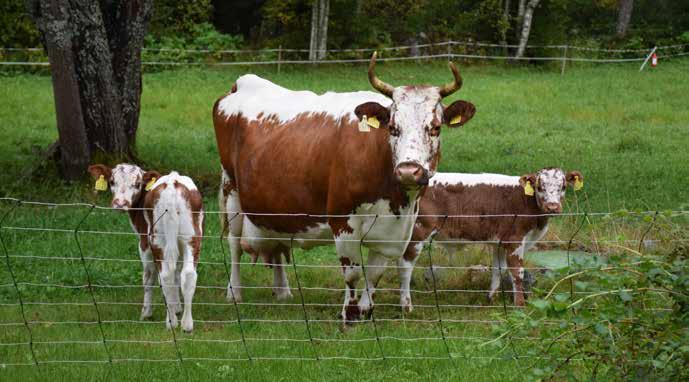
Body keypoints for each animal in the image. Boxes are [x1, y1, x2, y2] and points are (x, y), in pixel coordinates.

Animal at [87, 164, 203, 332]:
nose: (120, 203)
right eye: (112, 181)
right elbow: (177, 275)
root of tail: (171, 183)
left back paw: (171, 322)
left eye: (137, 184)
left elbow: (148, 278)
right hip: (191, 239)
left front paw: (147, 313)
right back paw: (187, 324)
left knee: (164, 276)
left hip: (157, 240)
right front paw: (177, 307)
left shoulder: (144, 244)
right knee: (187, 275)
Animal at [212, 52, 476, 324]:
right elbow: (353, 274)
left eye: (435, 128)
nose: (408, 171)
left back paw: (283, 291)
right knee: (234, 244)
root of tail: (243, 82)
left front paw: (366, 310)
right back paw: (234, 292)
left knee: (278, 243)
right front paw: (349, 314)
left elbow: (375, 274)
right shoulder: (342, 220)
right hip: (232, 191)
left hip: (273, 204)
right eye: (393, 128)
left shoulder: (391, 229)